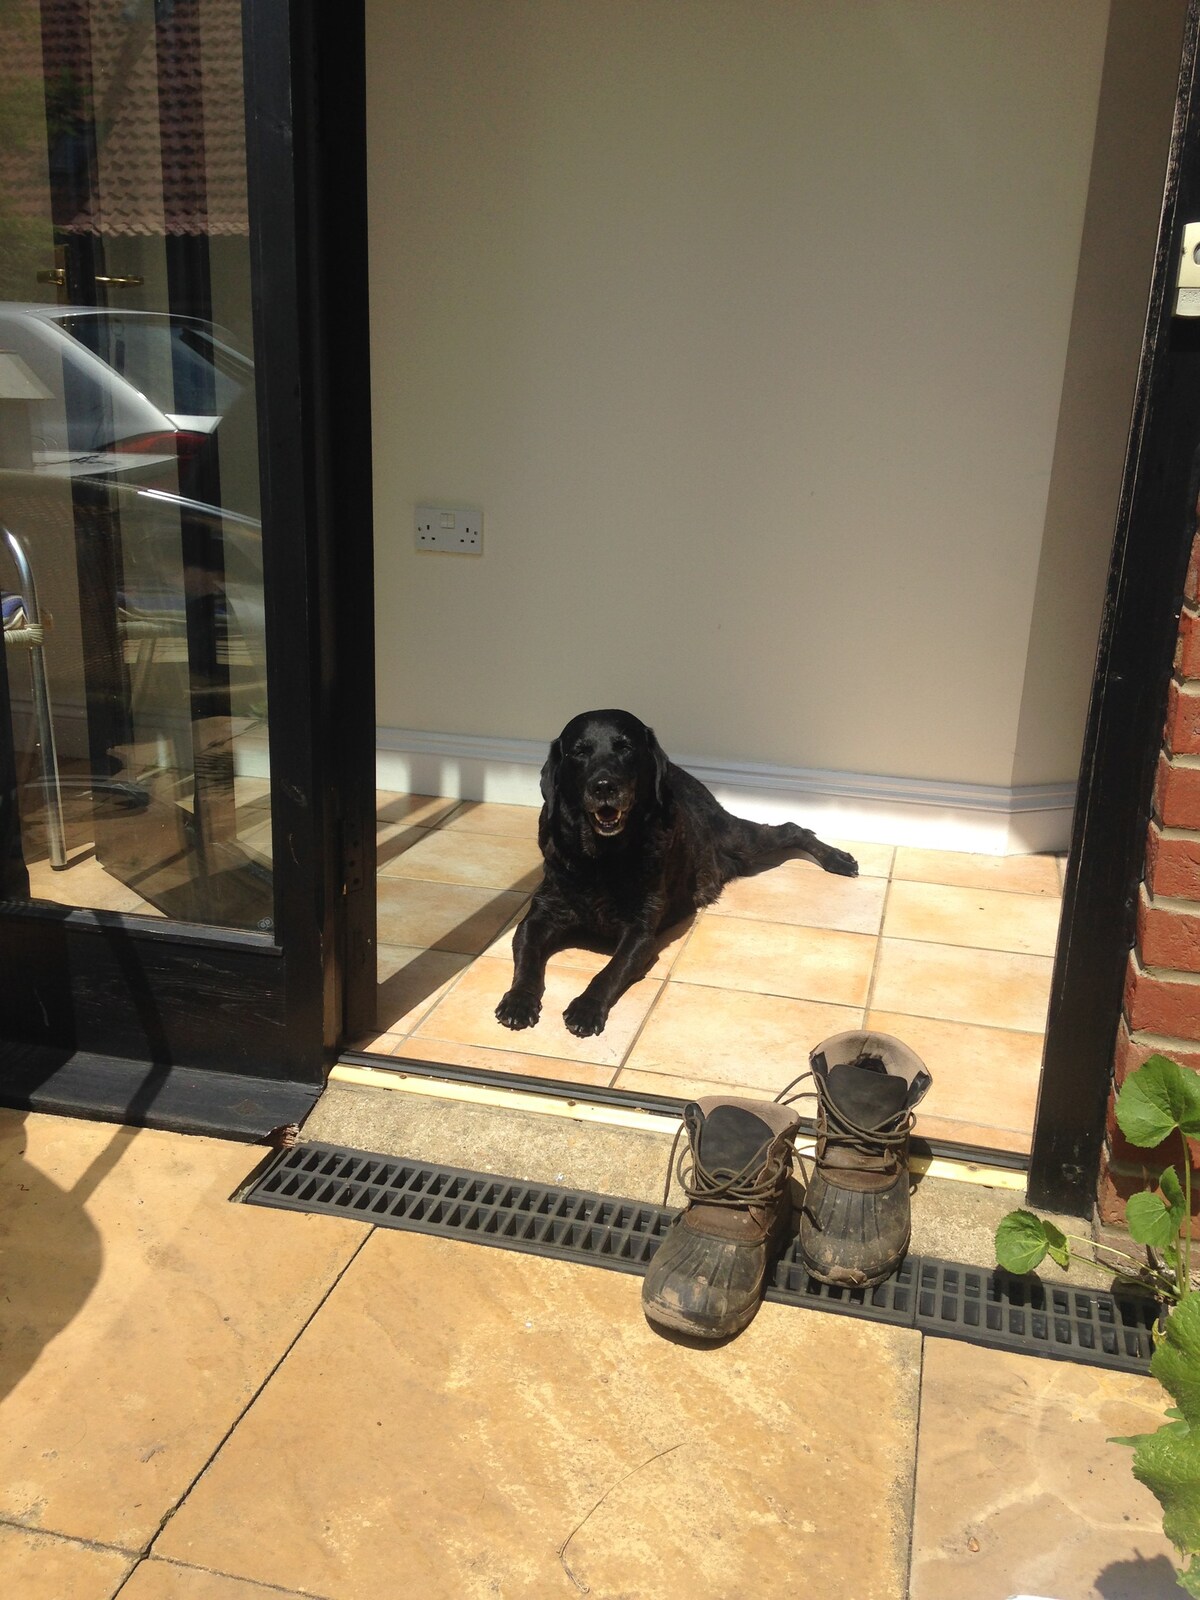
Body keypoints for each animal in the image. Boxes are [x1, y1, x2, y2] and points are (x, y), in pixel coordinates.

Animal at [492, 710, 857, 1036]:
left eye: (625, 747)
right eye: (579, 752)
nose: (604, 786)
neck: (601, 858)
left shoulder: (640, 933)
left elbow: (609, 972)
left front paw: (586, 1008)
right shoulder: (539, 917)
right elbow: (527, 961)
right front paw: (518, 1001)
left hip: (740, 840)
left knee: (793, 828)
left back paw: (838, 859)